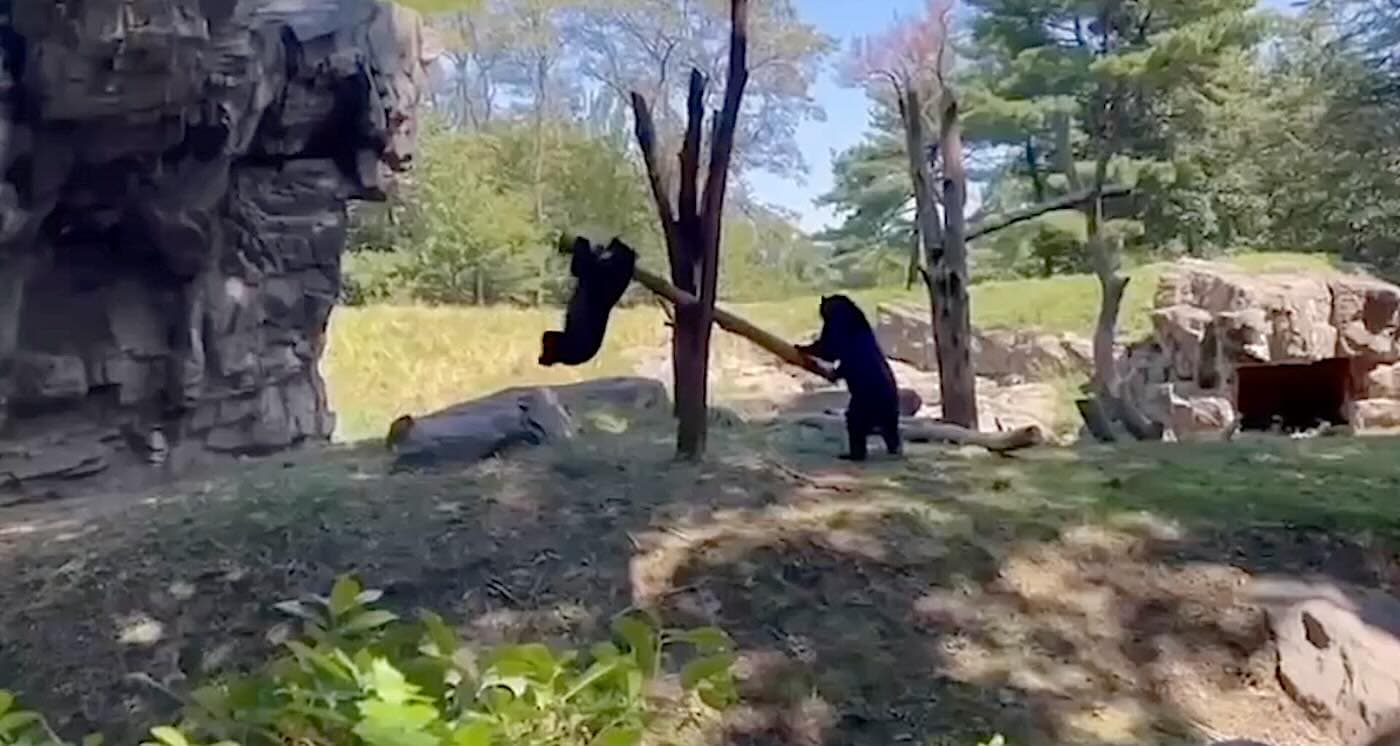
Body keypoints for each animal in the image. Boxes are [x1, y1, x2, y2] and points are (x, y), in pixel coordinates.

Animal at [540, 237, 637, 367]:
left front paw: (583, 240)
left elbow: (579, 265)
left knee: (549, 339)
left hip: (567, 342)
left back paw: (544, 358)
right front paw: (597, 249)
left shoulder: (596, 272)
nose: (615, 239)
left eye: (619, 245)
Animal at [796, 294, 902, 461]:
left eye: (822, 306)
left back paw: (853, 454)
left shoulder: (838, 328)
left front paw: (801, 347)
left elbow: (828, 348)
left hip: (864, 403)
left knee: (855, 422)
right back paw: (895, 449)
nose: (819, 307)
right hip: (887, 414)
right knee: (890, 432)